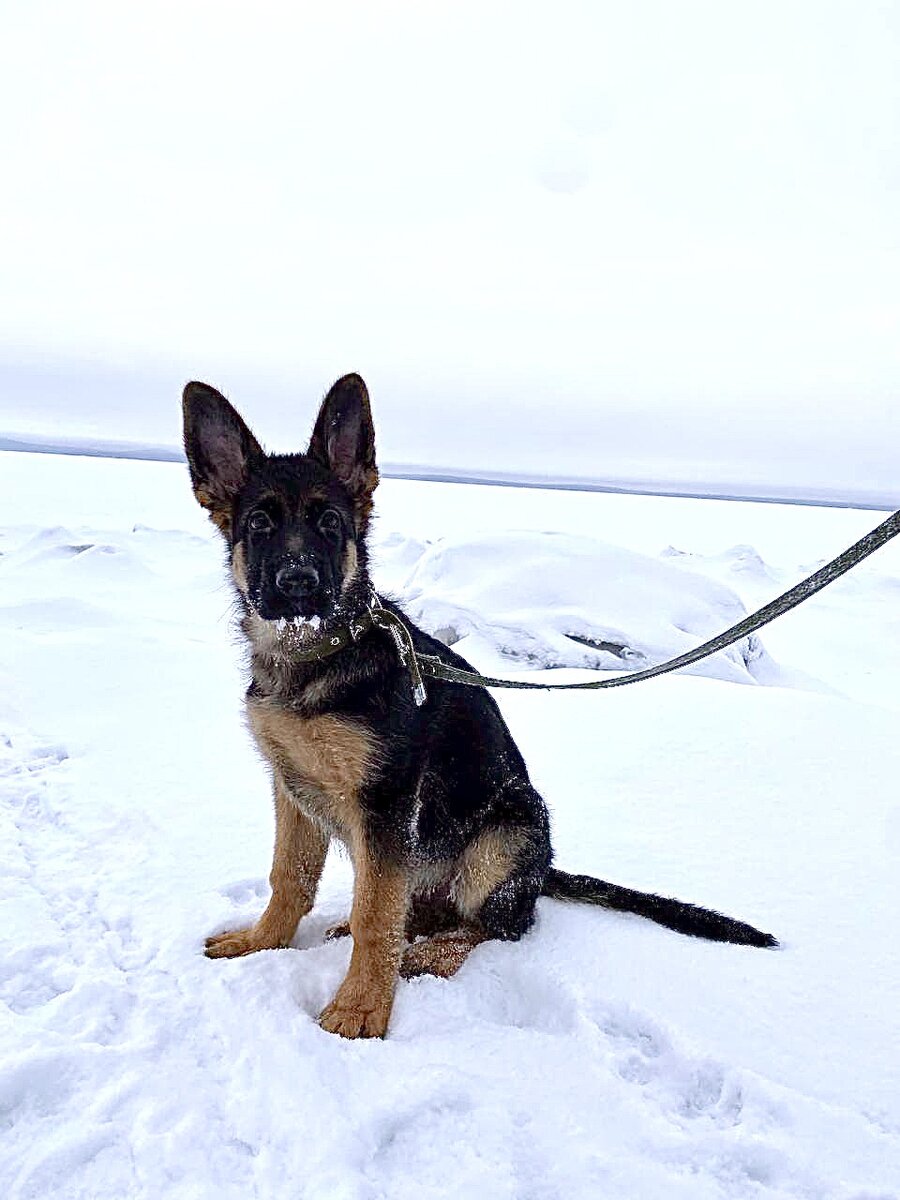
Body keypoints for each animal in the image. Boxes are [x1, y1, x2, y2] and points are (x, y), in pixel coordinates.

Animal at [181, 374, 777, 1041]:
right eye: (259, 524)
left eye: (330, 523)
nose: (298, 584)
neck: (319, 655)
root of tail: (543, 870)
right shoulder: (293, 790)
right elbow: (291, 877)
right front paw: (262, 942)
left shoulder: (387, 803)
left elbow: (376, 918)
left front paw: (360, 1010)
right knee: (422, 905)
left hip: (505, 833)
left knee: (495, 925)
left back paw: (426, 957)